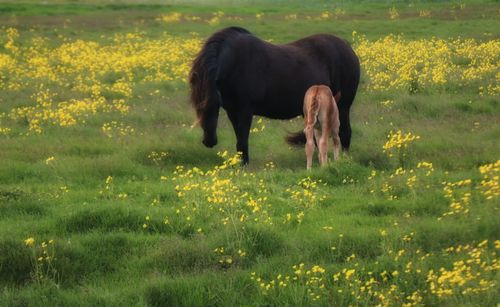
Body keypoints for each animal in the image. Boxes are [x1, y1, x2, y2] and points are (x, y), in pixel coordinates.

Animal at [188, 27, 360, 165]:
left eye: (213, 103)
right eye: (197, 106)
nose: (209, 141)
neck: (236, 64)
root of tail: (348, 48)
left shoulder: (245, 111)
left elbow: (243, 140)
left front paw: (244, 166)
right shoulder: (232, 111)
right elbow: (239, 141)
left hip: (342, 107)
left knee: (344, 133)